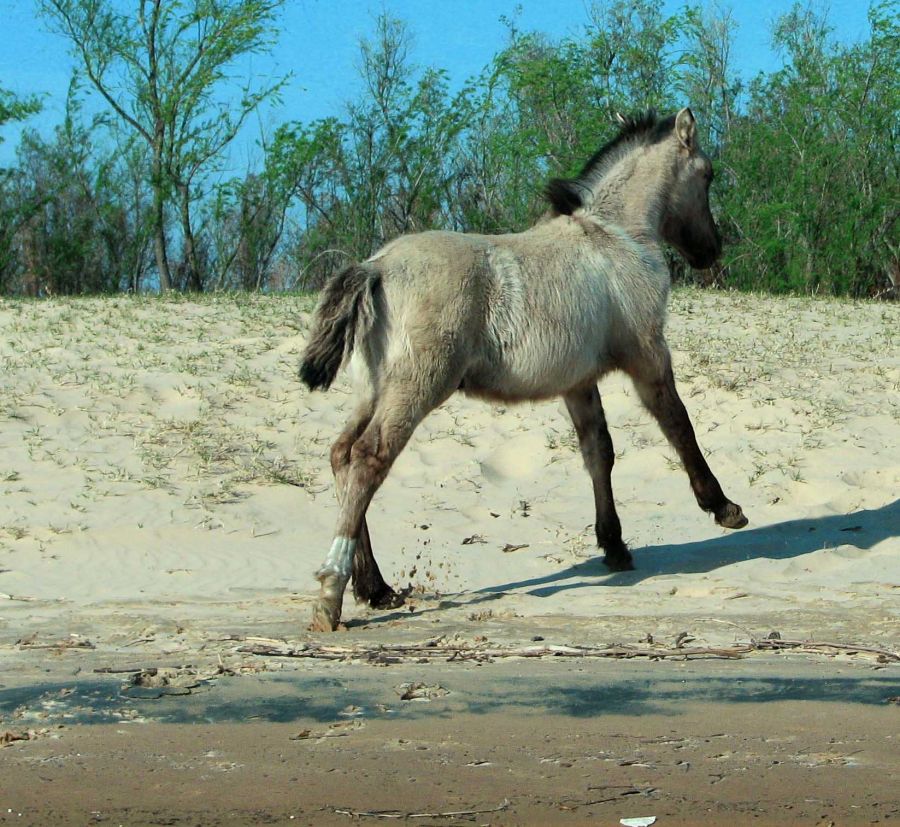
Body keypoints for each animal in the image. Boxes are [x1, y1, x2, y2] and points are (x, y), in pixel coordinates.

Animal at [300, 106, 744, 632]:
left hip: (372, 392)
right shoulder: (649, 357)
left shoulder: (578, 382)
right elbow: (680, 427)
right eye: (708, 174)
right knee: (369, 457)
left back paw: (375, 588)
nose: (711, 251)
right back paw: (331, 593)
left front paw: (614, 546)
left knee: (342, 455)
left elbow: (599, 452)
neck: (614, 237)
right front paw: (723, 507)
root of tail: (378, 268)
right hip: (416, 388)